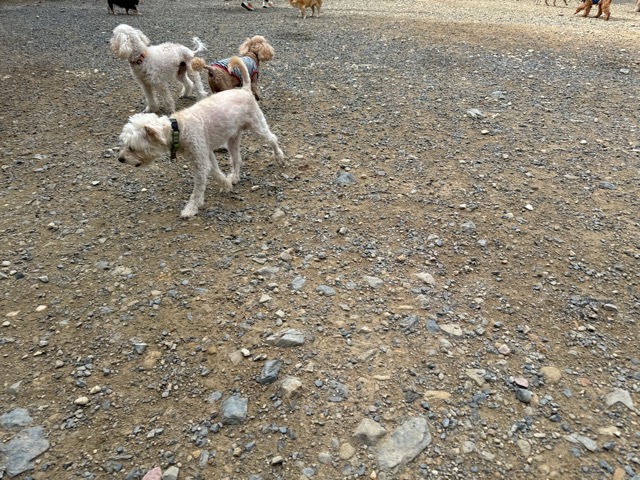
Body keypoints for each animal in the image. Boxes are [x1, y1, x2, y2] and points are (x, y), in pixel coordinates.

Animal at [117, 57, 285, 219]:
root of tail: (244, 89)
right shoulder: (206, 154)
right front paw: (226, 184)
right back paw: (234, 177)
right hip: (232, 139)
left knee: (272, 139)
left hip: (258, 127)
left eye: (132, 148)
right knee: (237, 159)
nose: (120, 159)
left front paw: (191, 209)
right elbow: (216, 172)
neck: (179, 128)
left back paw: (279, 157)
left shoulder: (200, 162)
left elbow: (198, 190)